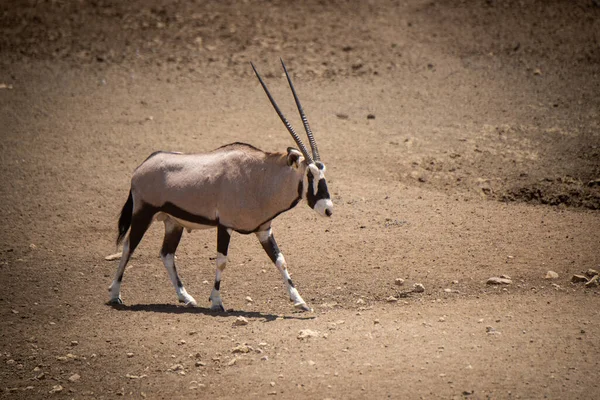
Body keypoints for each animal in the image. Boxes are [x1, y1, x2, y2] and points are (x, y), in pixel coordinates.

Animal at [108, 60, 332, 312]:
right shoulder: (225, 225)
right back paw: (115, 294)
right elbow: (222, 261)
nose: (328, 208)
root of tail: (141, 167)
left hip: (173, 222)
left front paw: (300, 301)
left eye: (323, 171)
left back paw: (185, 297)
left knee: (166, 254)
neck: (260, 178)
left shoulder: (264, 230)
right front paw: (216, 301)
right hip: (143, 214)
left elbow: (280, 260)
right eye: (310, 174)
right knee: (128, 247)